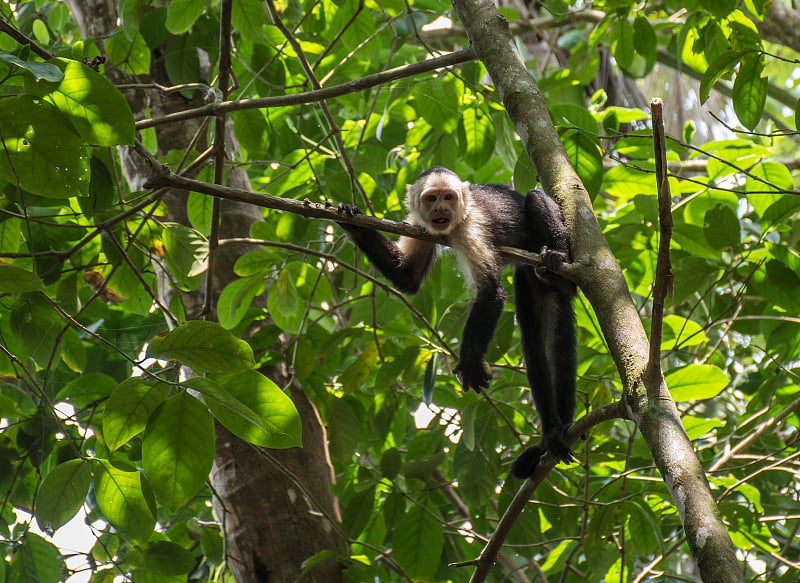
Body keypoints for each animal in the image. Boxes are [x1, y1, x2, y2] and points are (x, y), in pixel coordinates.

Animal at [338, 165, 576, 480]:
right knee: (535, 345)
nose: (442, 208)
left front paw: (471, 364)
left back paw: (559, 266)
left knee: (535, 198)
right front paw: (349, 220)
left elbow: (491, 292)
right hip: (528, 278)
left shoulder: (470, 226)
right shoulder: (418, 224)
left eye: (449, 197)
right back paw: (551, 433)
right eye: (431, 198)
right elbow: (407, 278)